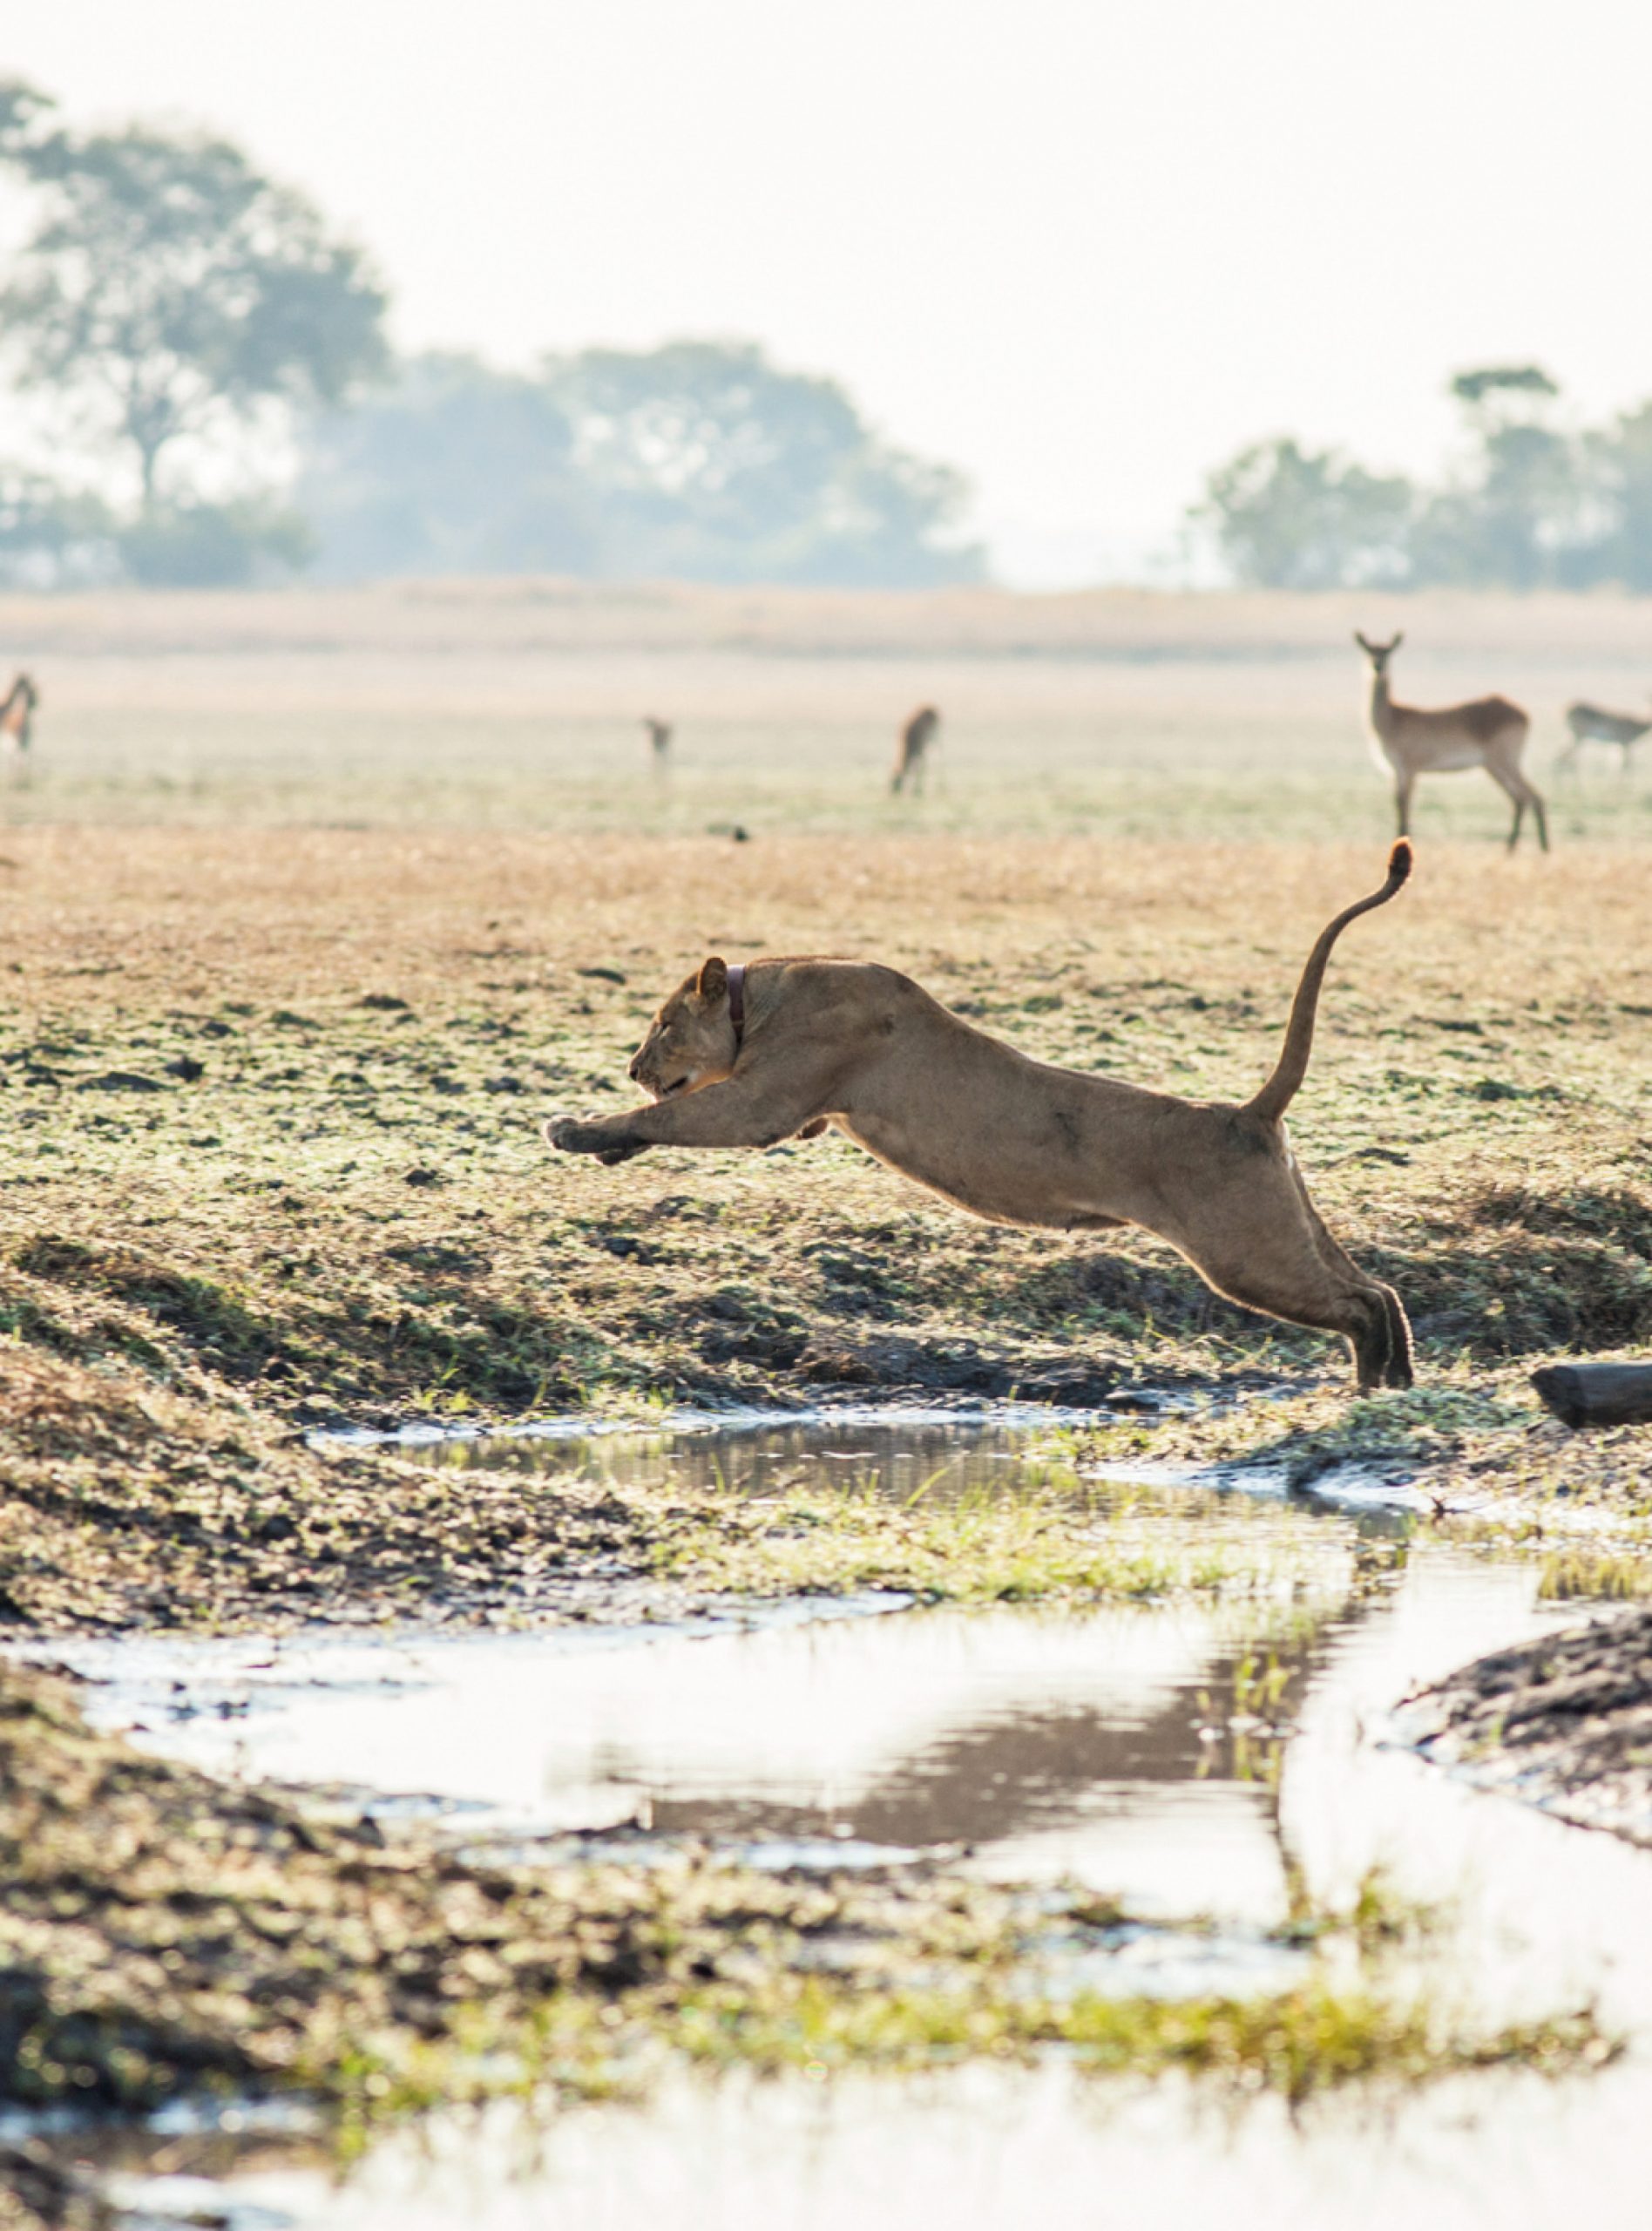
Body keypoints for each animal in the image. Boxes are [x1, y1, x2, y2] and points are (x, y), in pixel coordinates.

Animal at [1355, 638, 1542, 861]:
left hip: (1504, 761)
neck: (1391, 718)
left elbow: (1404, 805)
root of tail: (1521, 712)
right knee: (1520, 798)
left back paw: (1539, 849)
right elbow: (1399, 804)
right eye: (1368, 650)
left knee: (1533, 796)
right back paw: (1514, 848)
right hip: (1493, 767)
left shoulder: (1408, 770)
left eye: (1388, 652)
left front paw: (1404, 838)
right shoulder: (1395, 773)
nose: (1377, 667)